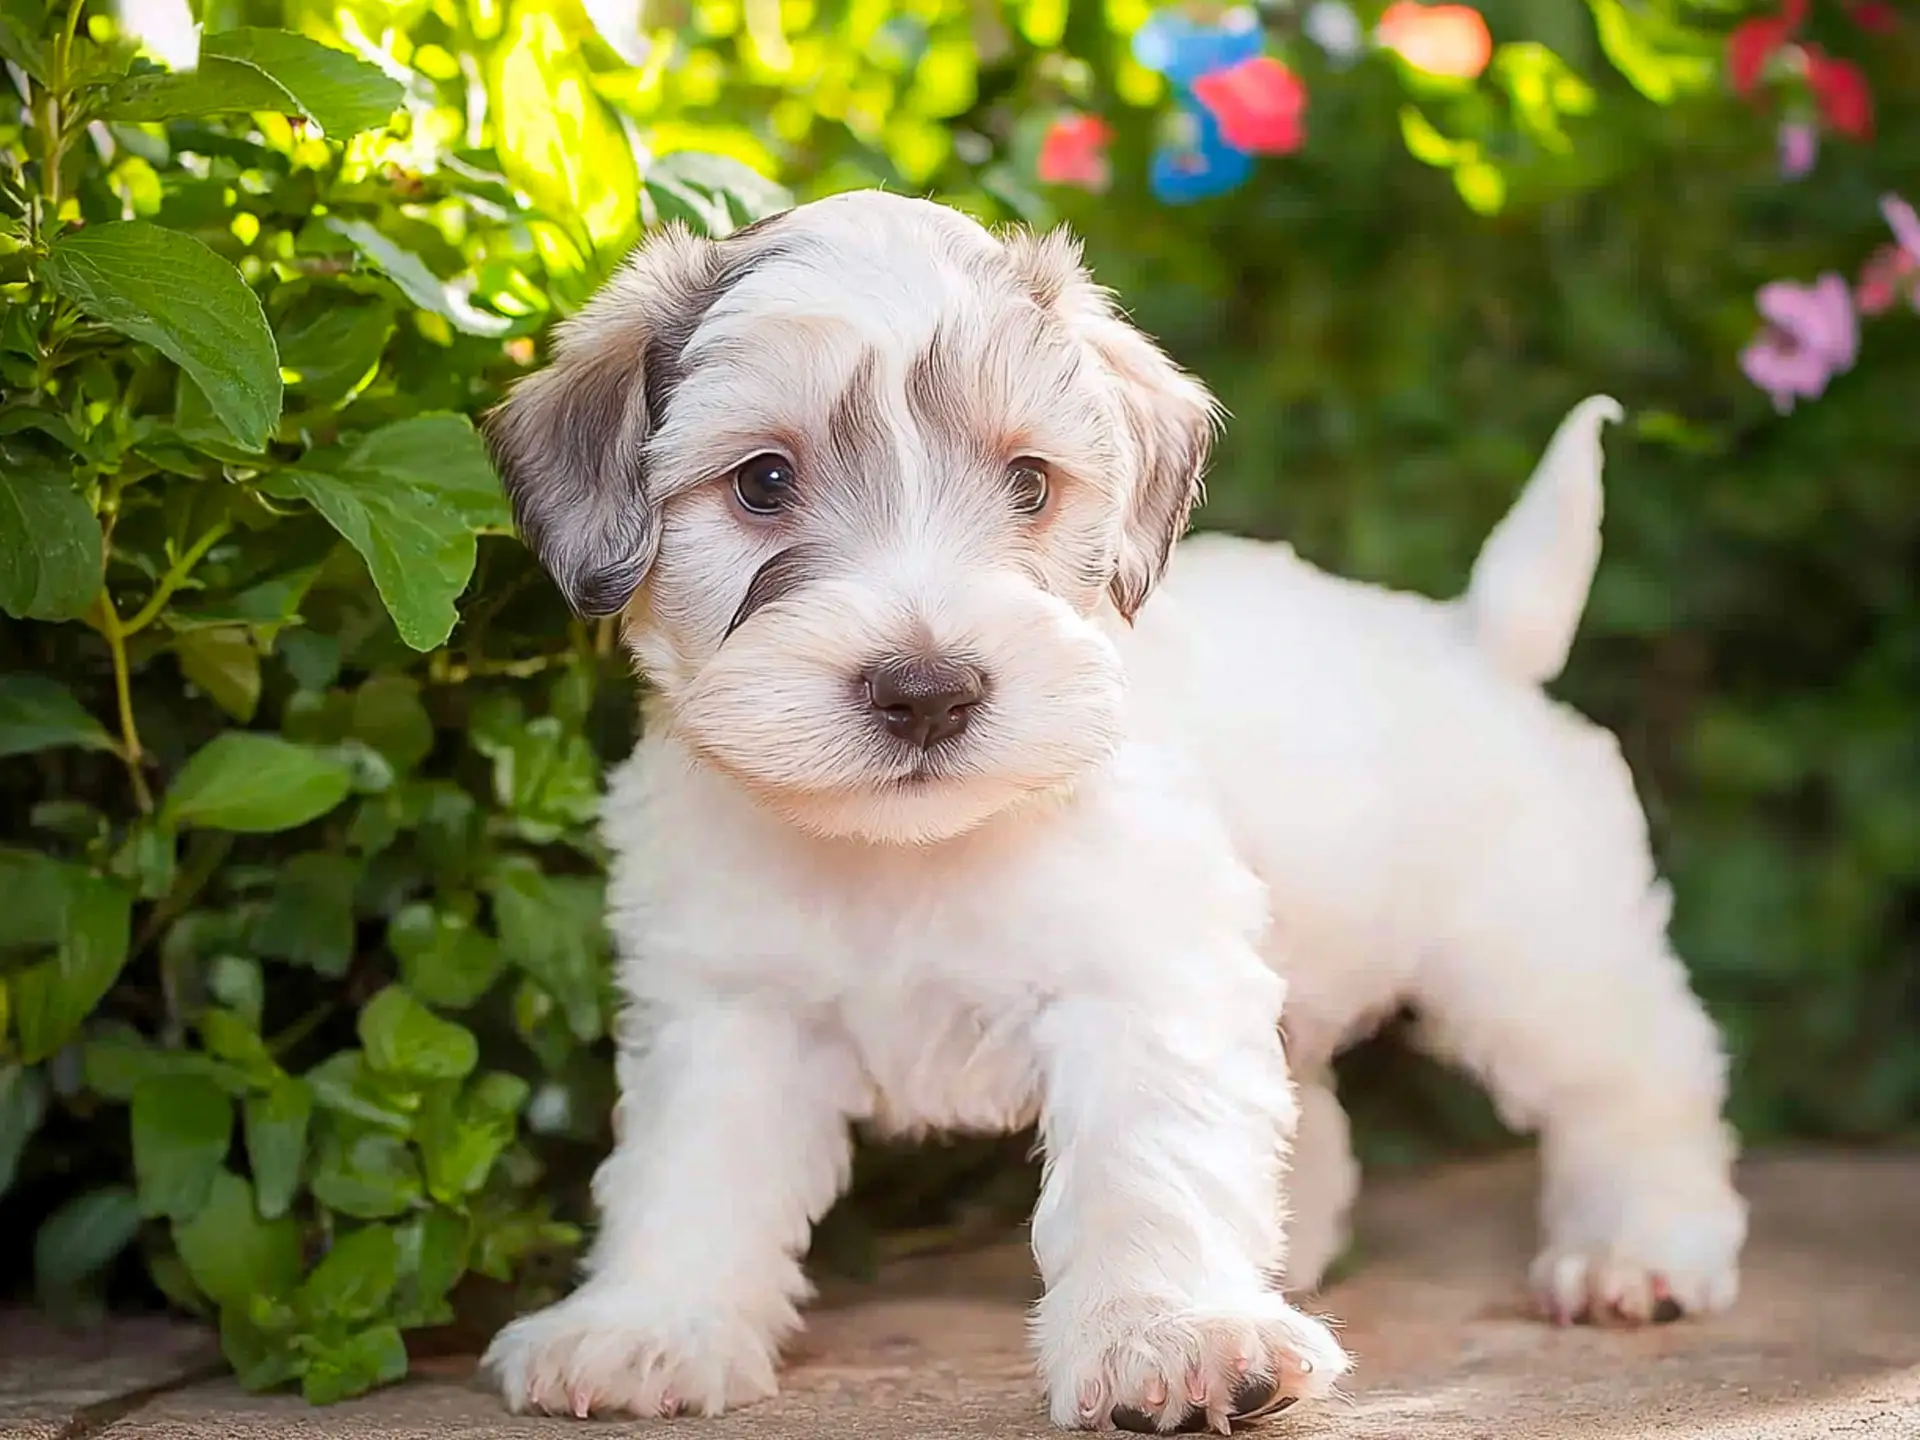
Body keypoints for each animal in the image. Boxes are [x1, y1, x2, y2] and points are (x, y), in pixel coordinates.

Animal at [476, 189, 1743, 1436]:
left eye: (1031, 483)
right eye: (762, 482)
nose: (927, 691)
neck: (912, 853)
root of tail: (1476, 635)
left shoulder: (1144, 980)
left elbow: (1152, 1161)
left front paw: (1173, 1333)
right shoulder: (730, 1007)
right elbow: (692, 1170)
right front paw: (649, 1322)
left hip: (1534, 958)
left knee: (1636, 1082)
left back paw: (1640, 1244)